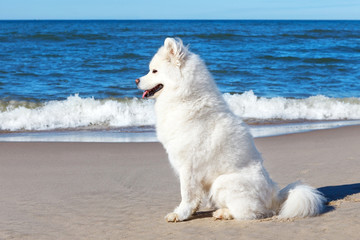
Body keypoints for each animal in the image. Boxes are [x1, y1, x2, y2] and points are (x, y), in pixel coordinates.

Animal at [136, 38, 326, 223]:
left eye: (154, 71)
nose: (136, 80)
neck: (185, 96)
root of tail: (275, 196)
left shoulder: (188, 167)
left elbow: (187, 194)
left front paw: (180, 214)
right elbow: (194, 196)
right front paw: (191, 211)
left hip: (222, 182)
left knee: (251, 212)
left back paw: (224, 213)